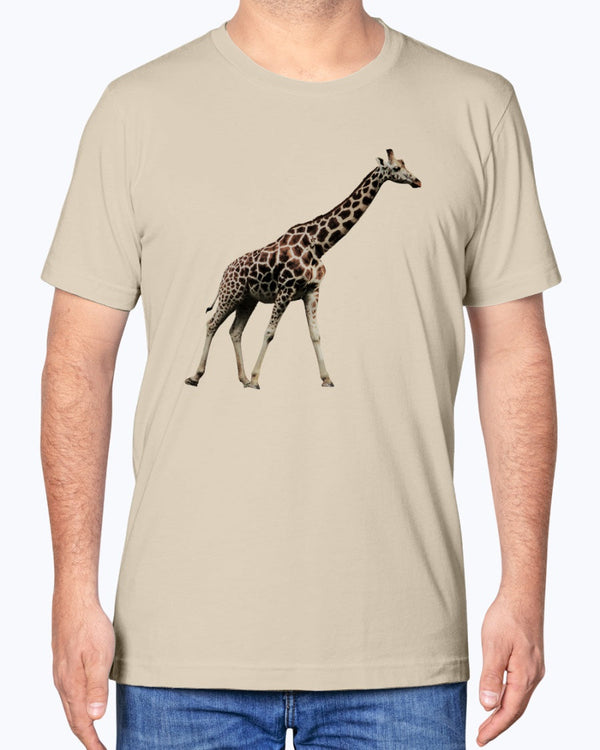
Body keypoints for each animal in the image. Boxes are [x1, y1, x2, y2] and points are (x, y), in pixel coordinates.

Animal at [185, 149, 421, 390]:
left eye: (405, 163)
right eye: (396, 168)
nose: (417, 181)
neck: (319, 244)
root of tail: (224, 273)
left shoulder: (312, 290)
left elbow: (315, 334)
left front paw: (327, 379)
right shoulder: (286, 289)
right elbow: (269, 332)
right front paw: (256, 379)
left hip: (247, 300)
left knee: (235, 331)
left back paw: (241, 379)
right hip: (230, 294)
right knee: (211, 323)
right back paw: (195, 377)